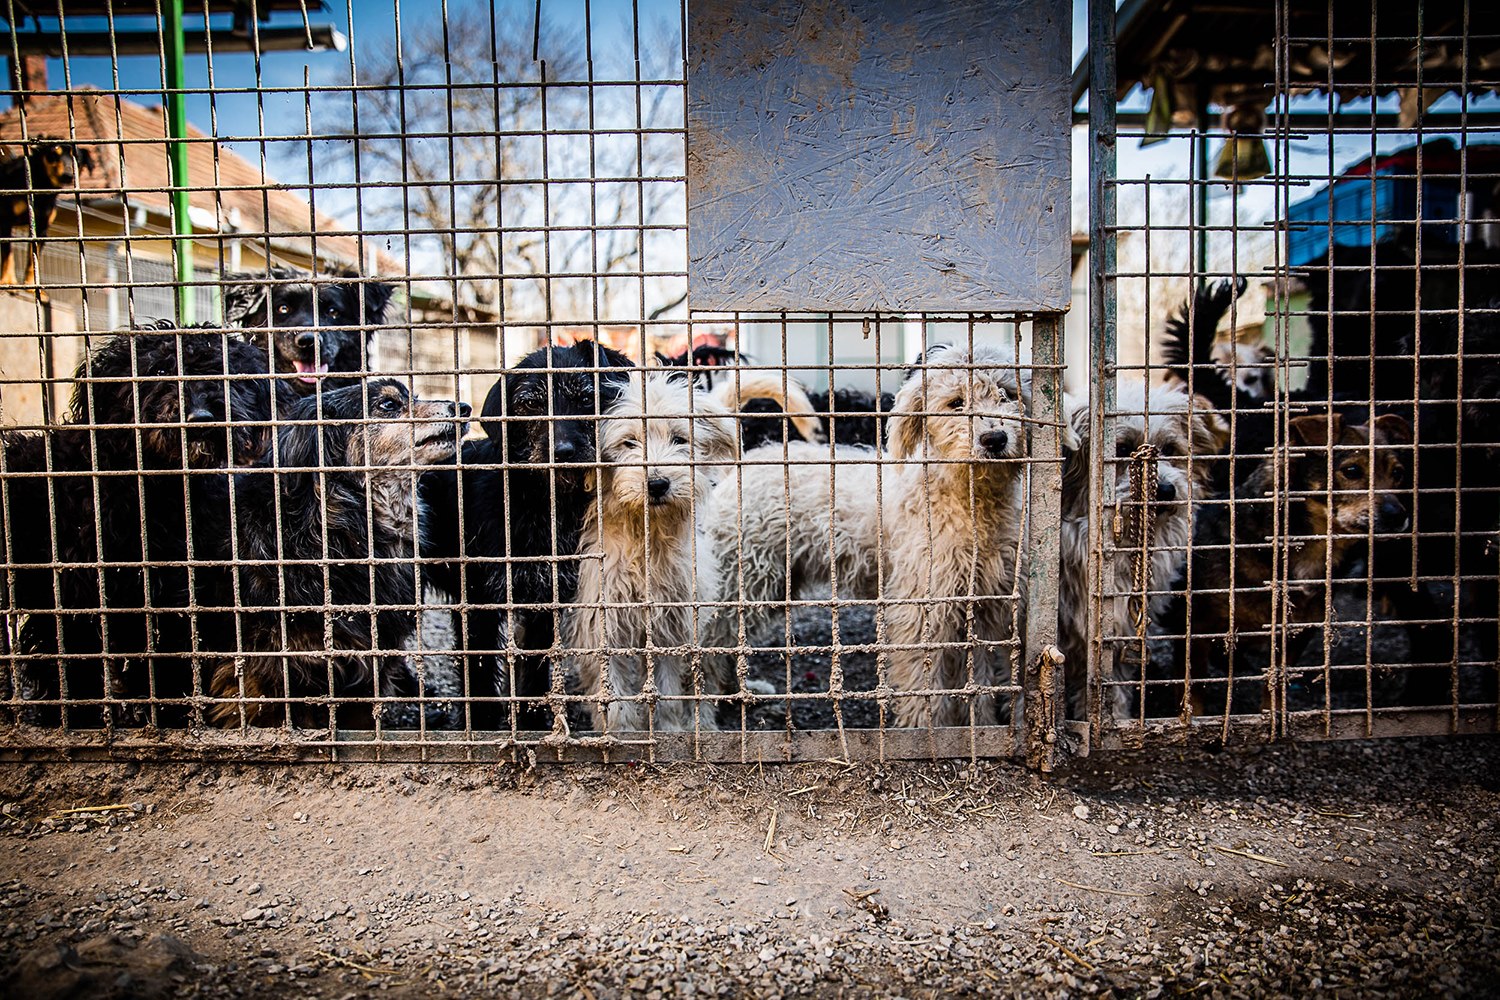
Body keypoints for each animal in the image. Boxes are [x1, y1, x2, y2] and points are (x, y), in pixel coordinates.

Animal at [0, 138, 94, 299]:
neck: (41, 184)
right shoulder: (6, 221)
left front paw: (32, 287)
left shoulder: (41, 230)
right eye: (53, 155)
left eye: (77, 159)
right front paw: (9, 282)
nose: (67, 175)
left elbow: (33, 261)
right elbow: (8, 256)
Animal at [702, 344, 1032, 728]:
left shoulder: (989, 608)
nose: (994, 438)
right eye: (956, 403)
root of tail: (736, 469)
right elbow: (923, 688)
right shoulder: (921, 610)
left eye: (1006, 394)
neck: (970, 502)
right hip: (745, 579)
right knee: (709, 645)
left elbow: (980, 685)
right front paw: (923, 730)